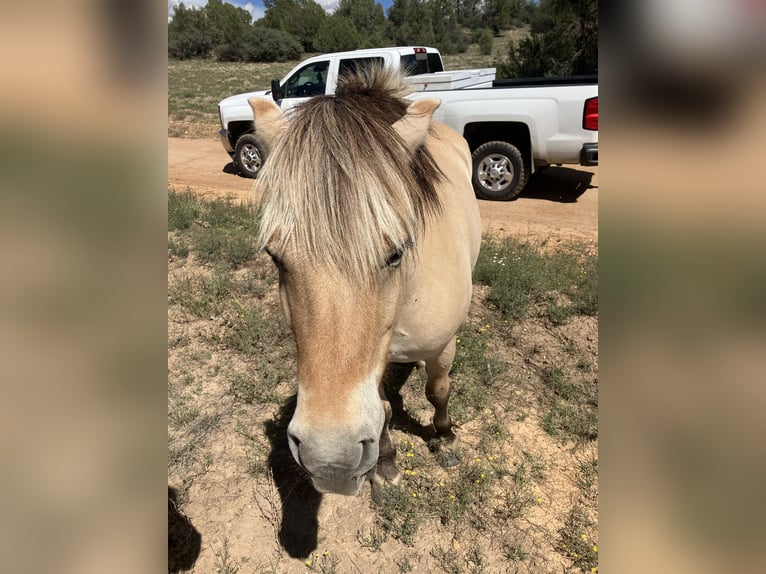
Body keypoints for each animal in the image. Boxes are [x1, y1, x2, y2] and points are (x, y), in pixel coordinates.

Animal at [250, 66, 481, 497]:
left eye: (397, 253)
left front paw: (445, 437)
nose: (331, 459)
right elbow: (385, 410)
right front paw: (386, 465)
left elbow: (438, 389)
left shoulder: (442, 346)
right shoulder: (374, 365)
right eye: (275, 257)